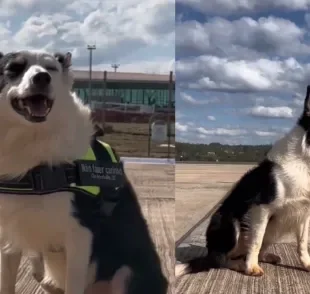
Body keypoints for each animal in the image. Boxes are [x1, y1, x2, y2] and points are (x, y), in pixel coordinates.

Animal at [0, 50, 167, 294]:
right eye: (14, 68)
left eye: (51, 69)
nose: (42, 78)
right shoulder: (8, 234)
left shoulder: (80, 234)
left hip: (127, 275)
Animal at [177, 85, 310, 278]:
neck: (305, 160)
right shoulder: (261, 208)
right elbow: (255, 241)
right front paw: (251, 267)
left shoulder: (304, 212)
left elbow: (302, 243)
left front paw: (306, 264)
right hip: (229, 222)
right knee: (220, 260)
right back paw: (239, 264)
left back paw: (266, 256)